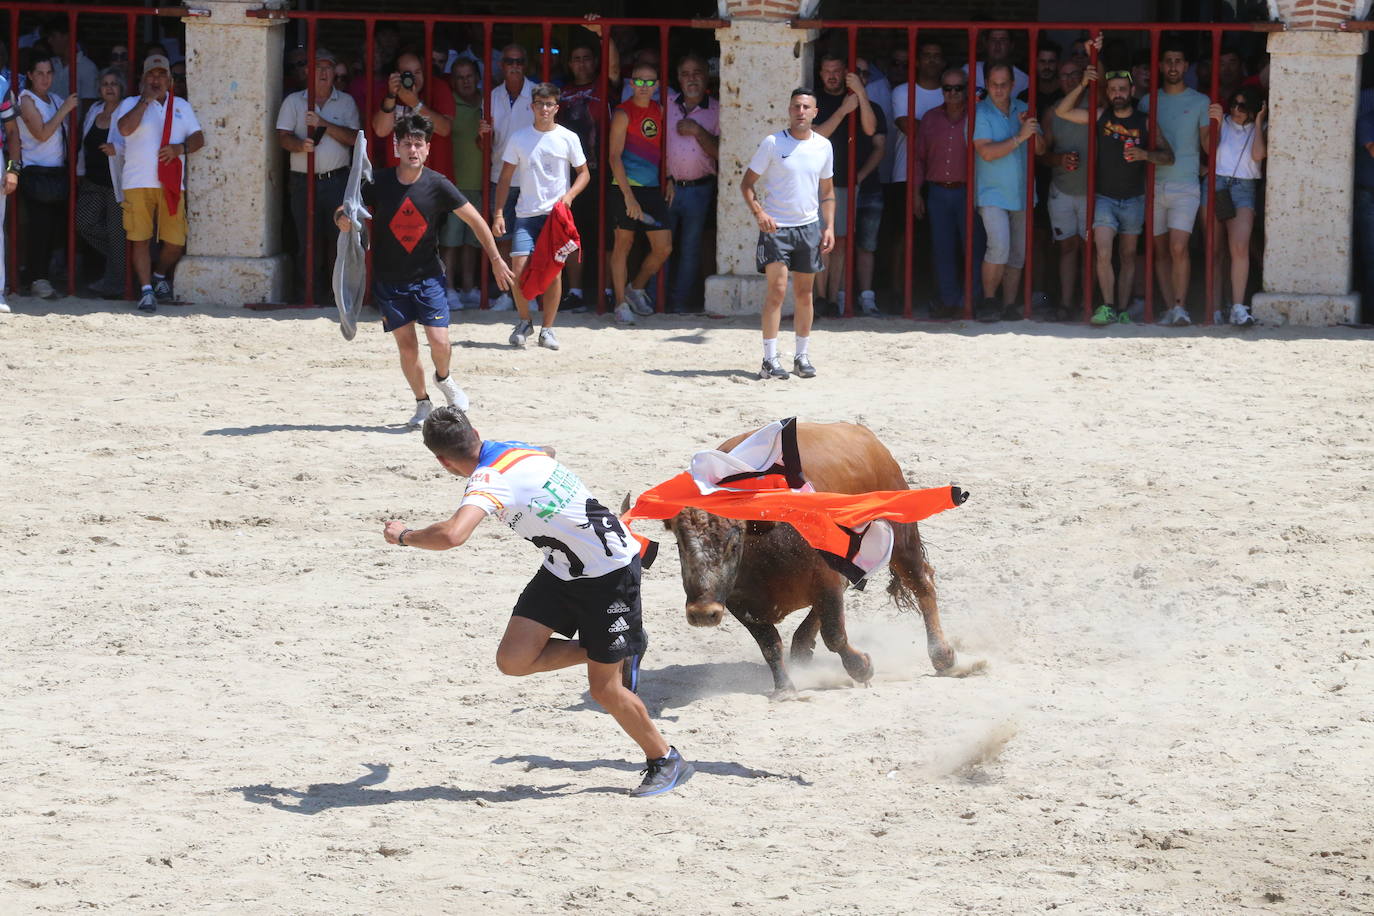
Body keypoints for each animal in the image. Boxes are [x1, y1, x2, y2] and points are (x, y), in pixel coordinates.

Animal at [659, 425, 972, 703]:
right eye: (680, 545)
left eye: (734, 543)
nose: (703, 613)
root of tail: (867, 437)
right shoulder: (738, 602)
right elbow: (769, 644)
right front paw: (785, 688)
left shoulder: (826, 578)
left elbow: (834, 634)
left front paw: (862, 667)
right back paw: (801, 648)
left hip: (902, 537)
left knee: (922, 584)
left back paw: (942, 656)